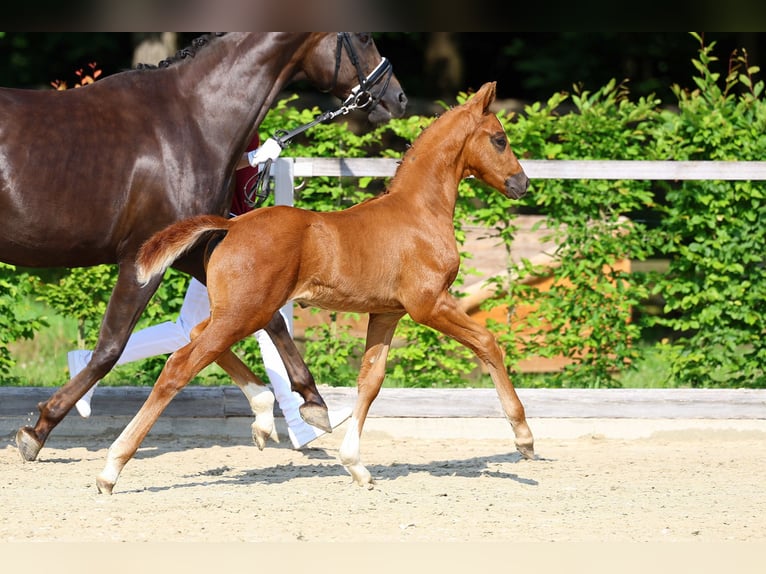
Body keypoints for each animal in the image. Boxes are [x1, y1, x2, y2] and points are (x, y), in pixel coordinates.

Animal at [4, 32, 408, 462]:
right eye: (363, 37)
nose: (397, 97)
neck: (189, 121)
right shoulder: (140, 262)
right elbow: (110, 348)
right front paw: (37, 429)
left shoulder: (190, 251)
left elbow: (270, 321)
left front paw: (307, 405)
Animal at [95, 81, 534, 494]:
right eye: (499, 138)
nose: (522, 184)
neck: (418, 212)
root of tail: (232, 225)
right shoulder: (429, 304)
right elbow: (487, 342)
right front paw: (524, 439)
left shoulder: (387, 312)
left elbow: (370, 381)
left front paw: (356, 465)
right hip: (246, 311)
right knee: (181, 363)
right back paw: (110, 469)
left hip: (239, 310)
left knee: (198, 338)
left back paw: (262, 416)